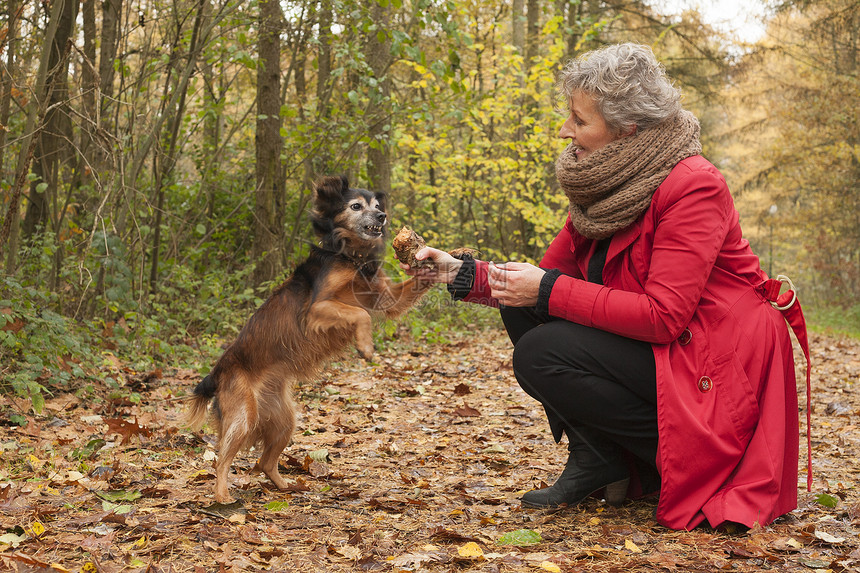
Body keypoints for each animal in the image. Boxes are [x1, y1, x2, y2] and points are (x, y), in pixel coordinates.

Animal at [186, 173, 430, 500]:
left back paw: (287, 486)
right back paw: (223, 496)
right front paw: (365, 346)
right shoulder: (316, 310)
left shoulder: (385, 298)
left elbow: (404, 290)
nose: (382, 216)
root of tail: (216, 374)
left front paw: (448, 262)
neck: (350, 257)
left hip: (284, 421)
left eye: (378, 206)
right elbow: (360, 315)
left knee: (265, 462)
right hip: (244, 416)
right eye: (356, 206)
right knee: (221, 459)